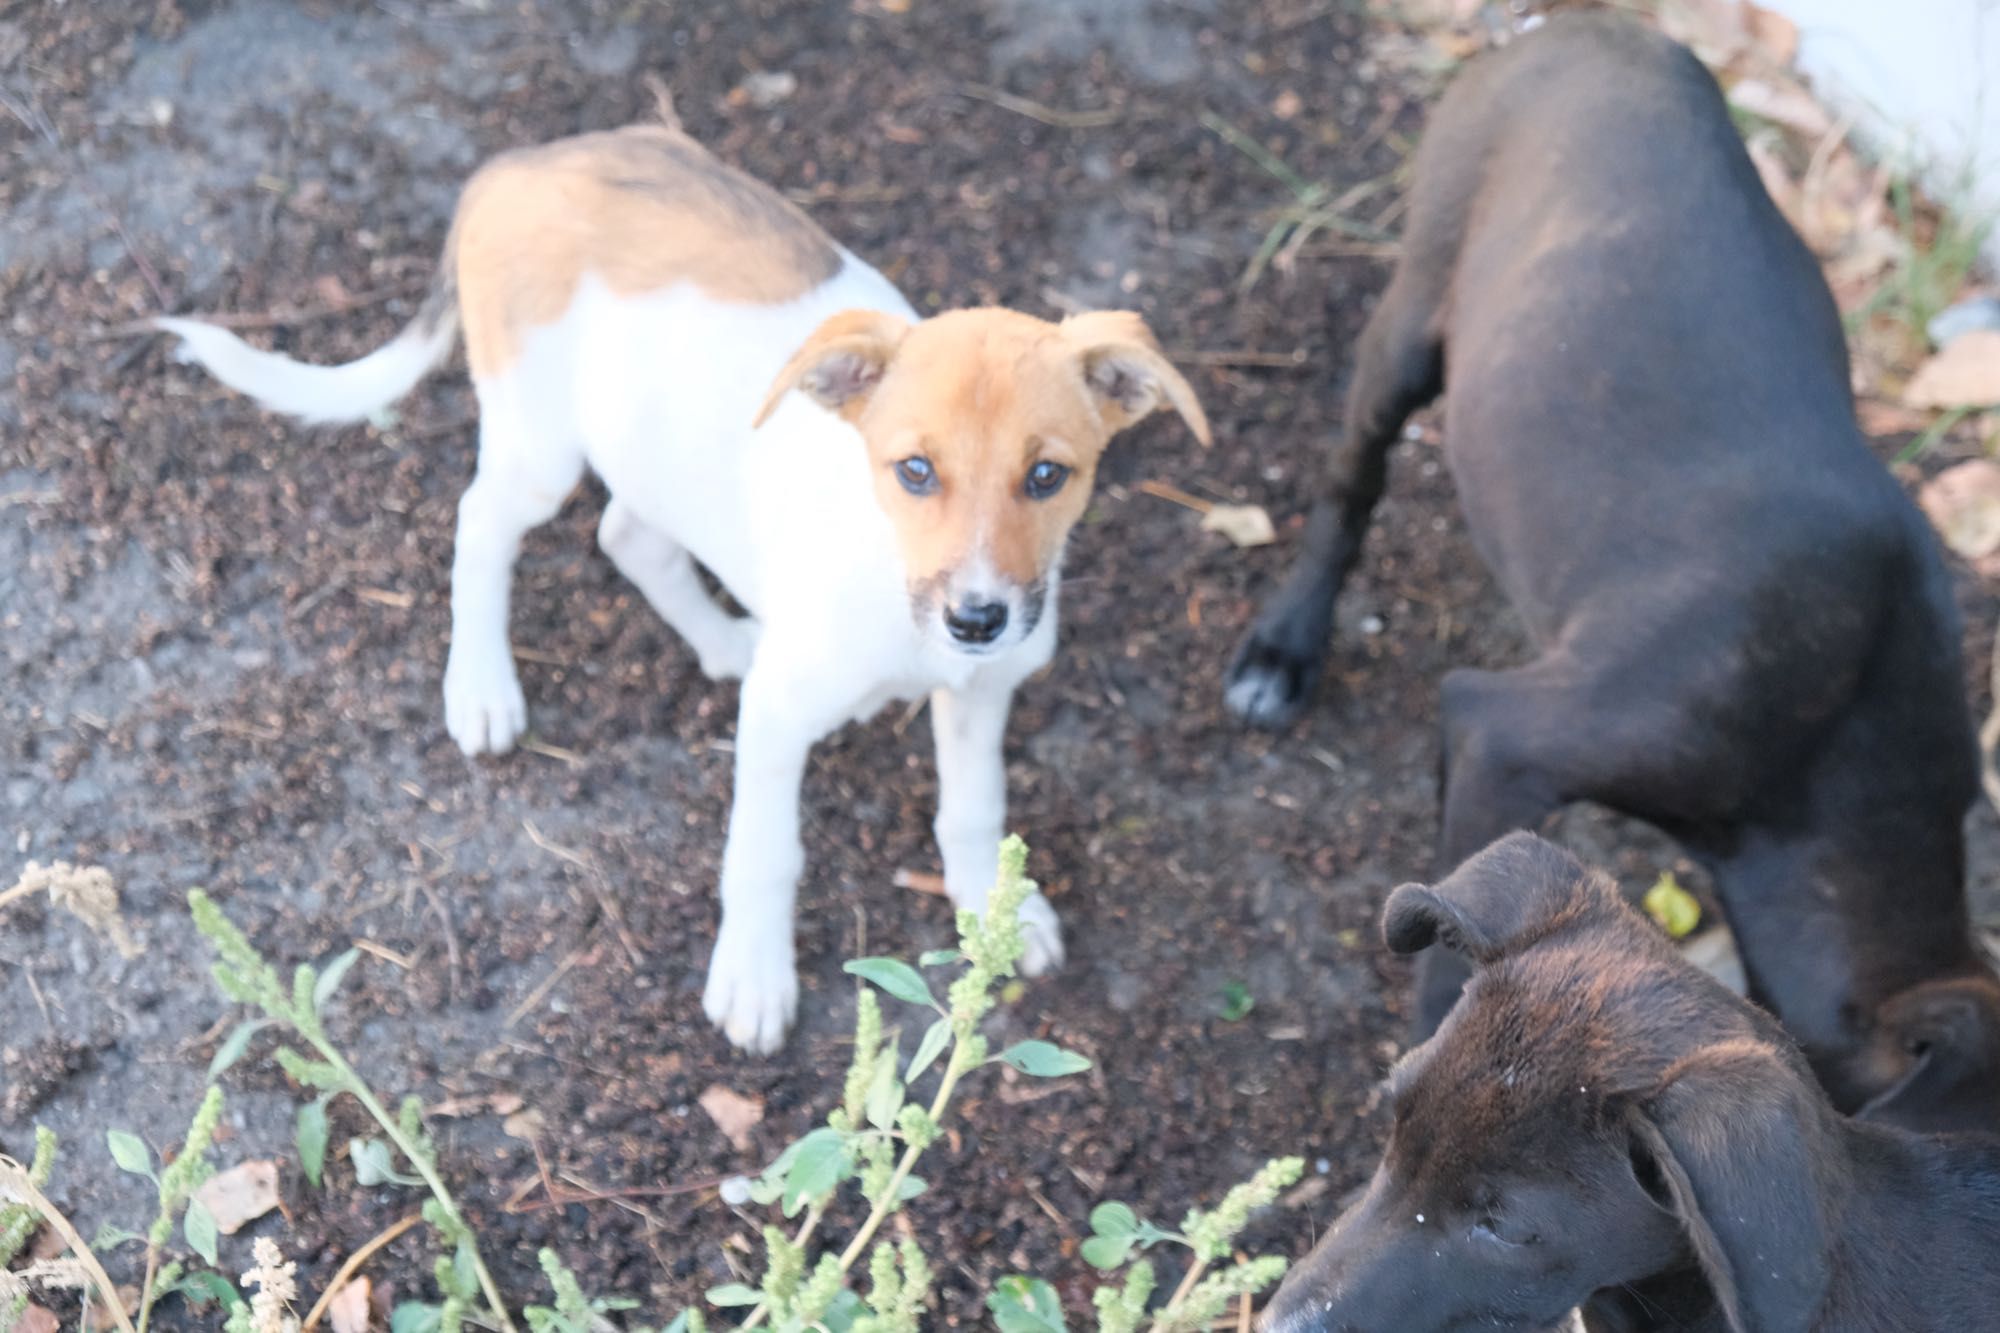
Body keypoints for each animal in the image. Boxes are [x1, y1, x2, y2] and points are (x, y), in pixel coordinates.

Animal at [156, 116, 1208, 1048]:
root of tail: (519, 164)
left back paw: (721, 638)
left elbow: (974, 807)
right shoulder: (782, 717)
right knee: (480, 525)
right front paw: (753, 978)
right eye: (914, 471)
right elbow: (764, 854)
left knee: (627, 534)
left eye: (1049, 475)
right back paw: (483, 687)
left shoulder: (985, 690)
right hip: (537, 442)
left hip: (647, 438)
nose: (980, 617)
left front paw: (998, 913)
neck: (890, 579)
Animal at [1224, 10, 1992, 1112]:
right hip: (1410, 324)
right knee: (1349, 482)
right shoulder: (1513, 734)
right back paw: (1284, 648)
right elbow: (1453, 958)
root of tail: (1600, 29)